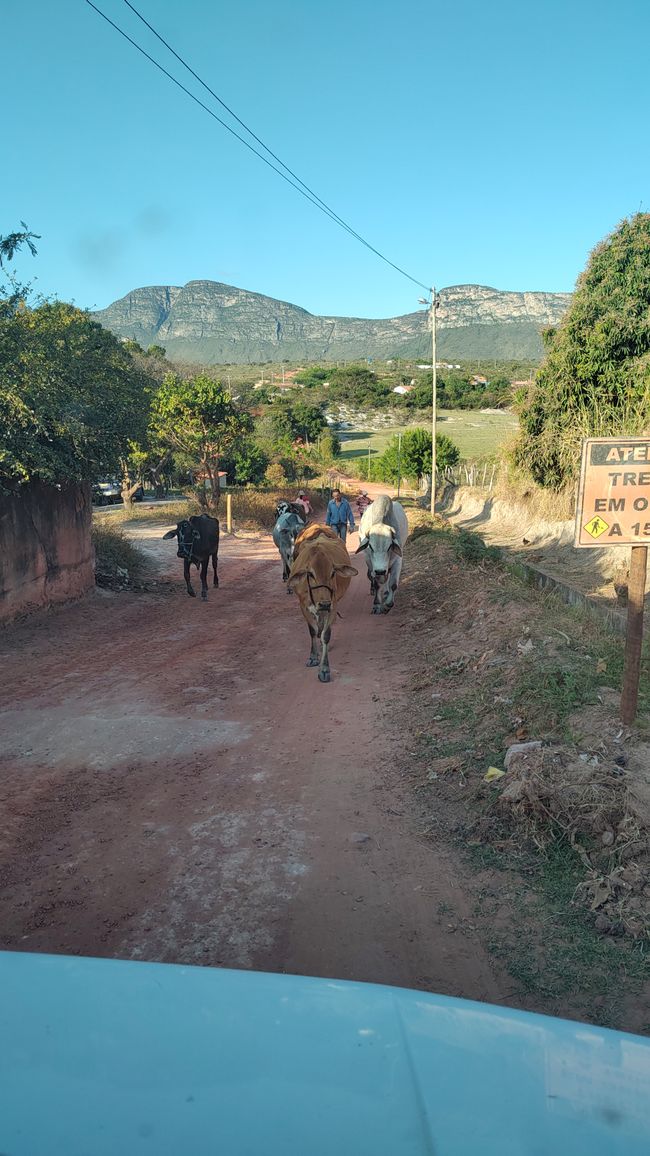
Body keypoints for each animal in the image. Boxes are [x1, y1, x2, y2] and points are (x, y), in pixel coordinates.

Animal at [289, 529, 358, 679]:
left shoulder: (333, 605)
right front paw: (313, 657)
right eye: (310, 574)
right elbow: (312, 631)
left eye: (333, 573)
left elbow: (326, 635)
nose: (324, 604)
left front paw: (325, 669)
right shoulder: (303, 606)